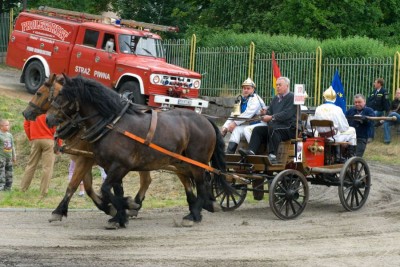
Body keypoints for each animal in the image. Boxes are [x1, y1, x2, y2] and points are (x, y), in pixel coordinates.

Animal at [45, 75, 227, 228]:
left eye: (61, 96)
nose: (48, 119)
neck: (114, 124)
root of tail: (206, 120)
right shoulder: (109, 166)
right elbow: (115, 191)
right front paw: (119, 216)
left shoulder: (120, 165)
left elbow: (105, 189)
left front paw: (125, 206)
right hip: (181, 162)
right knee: (194, 182)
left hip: (197, 162)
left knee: (202, 183)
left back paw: (194, 214)